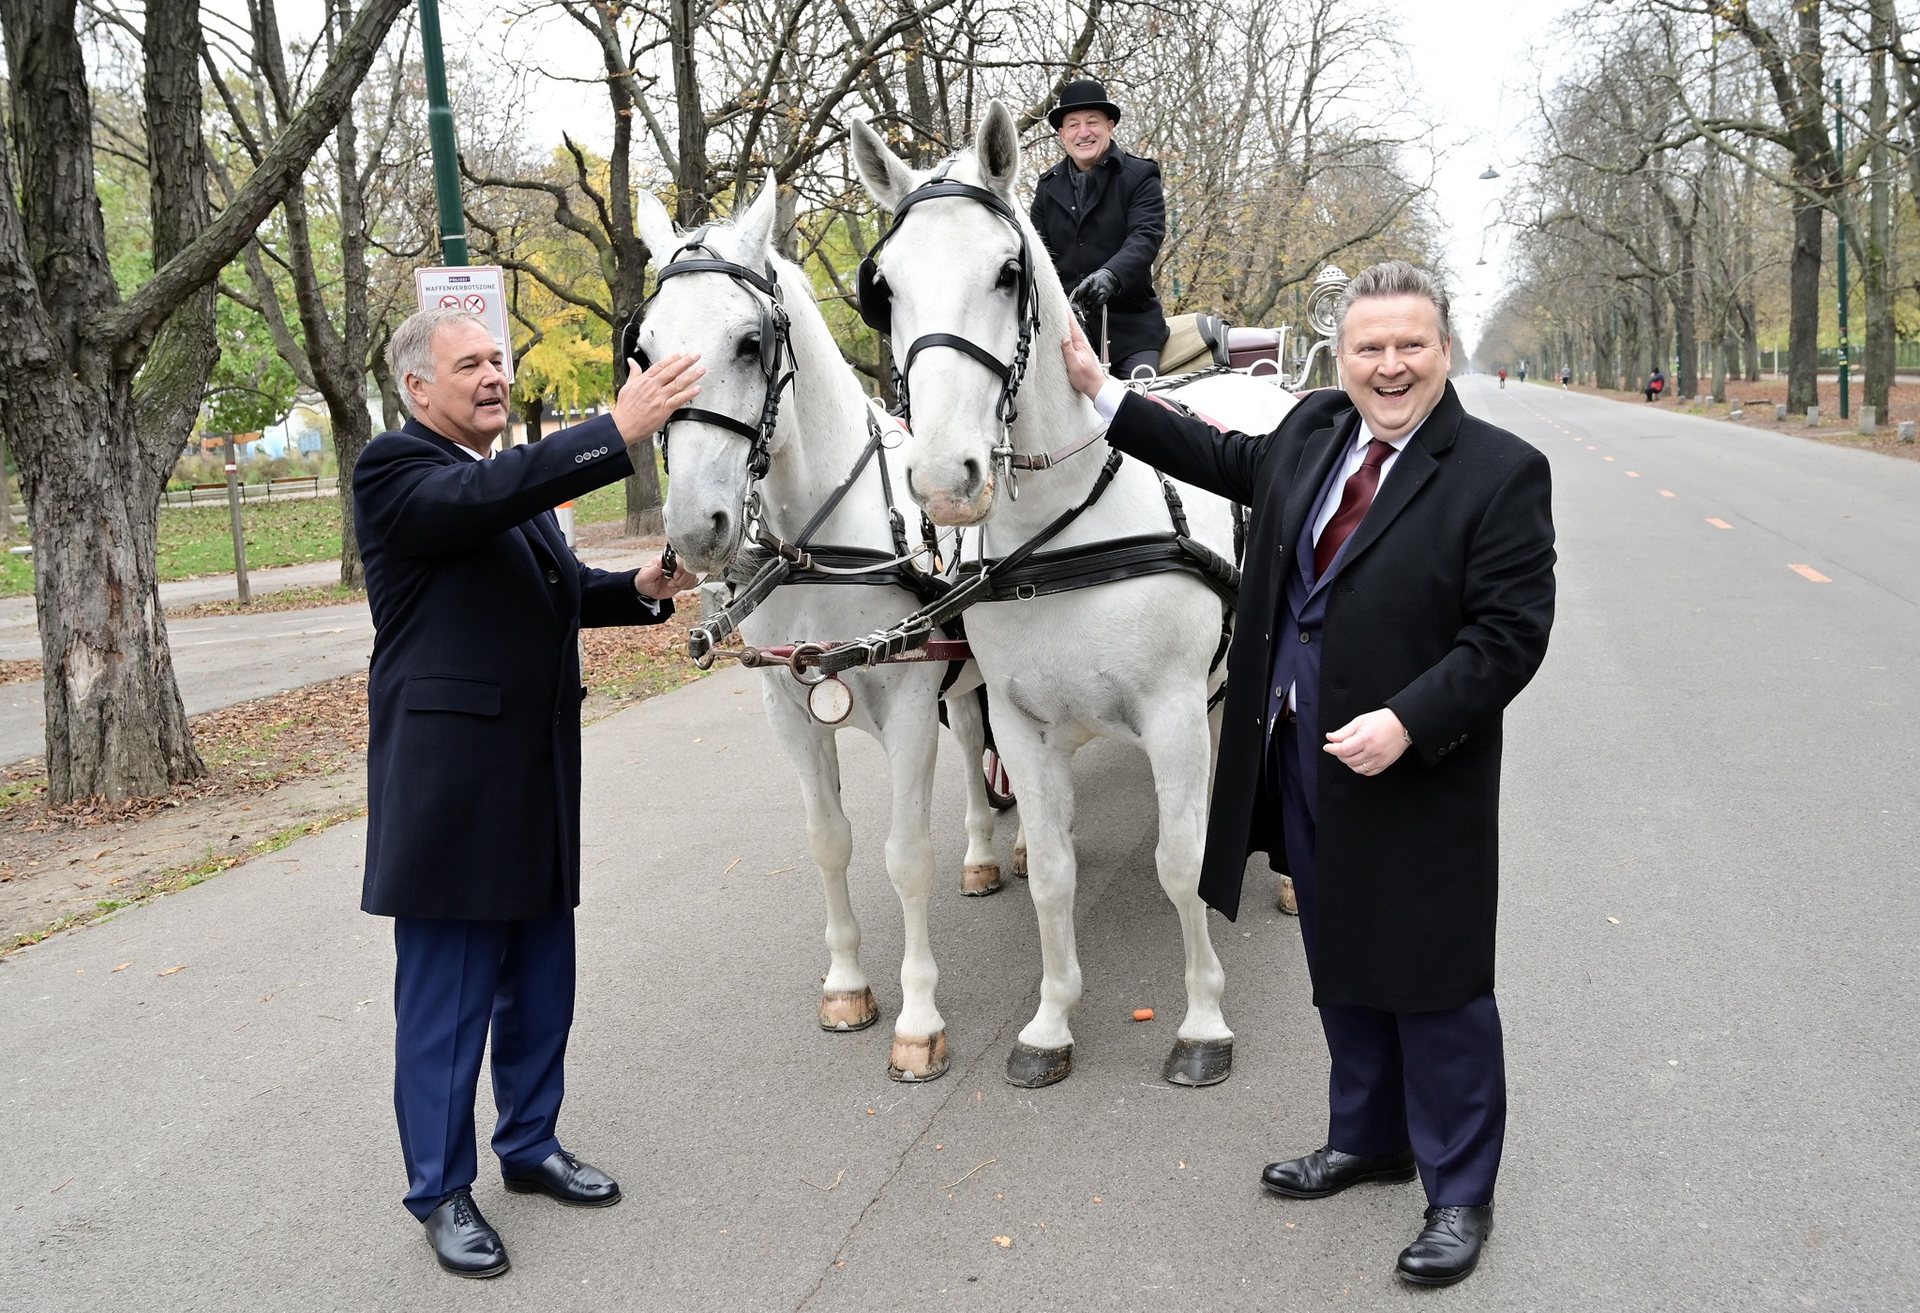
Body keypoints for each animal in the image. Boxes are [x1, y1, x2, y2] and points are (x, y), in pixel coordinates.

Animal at [633, 187, 998, 1090]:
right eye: (642, 349)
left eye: (749, 341)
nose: (693, 529)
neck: (819, 545)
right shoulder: (789, 707)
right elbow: (829, 842)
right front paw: (846, 985)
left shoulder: (909, 701)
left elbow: (905, 854)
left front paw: (919, 1019)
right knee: (975, 733)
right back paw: (984, 850)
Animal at [856, 102, 1305, 1090]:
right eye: (885, 288)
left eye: (1007, 269)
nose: (943, 478)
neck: (1064, 528)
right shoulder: (1021, 723)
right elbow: (1056, 871)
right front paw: (1051, 1022)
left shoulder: (1170, 712)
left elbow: (1181, 864)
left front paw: (1203, 1020)